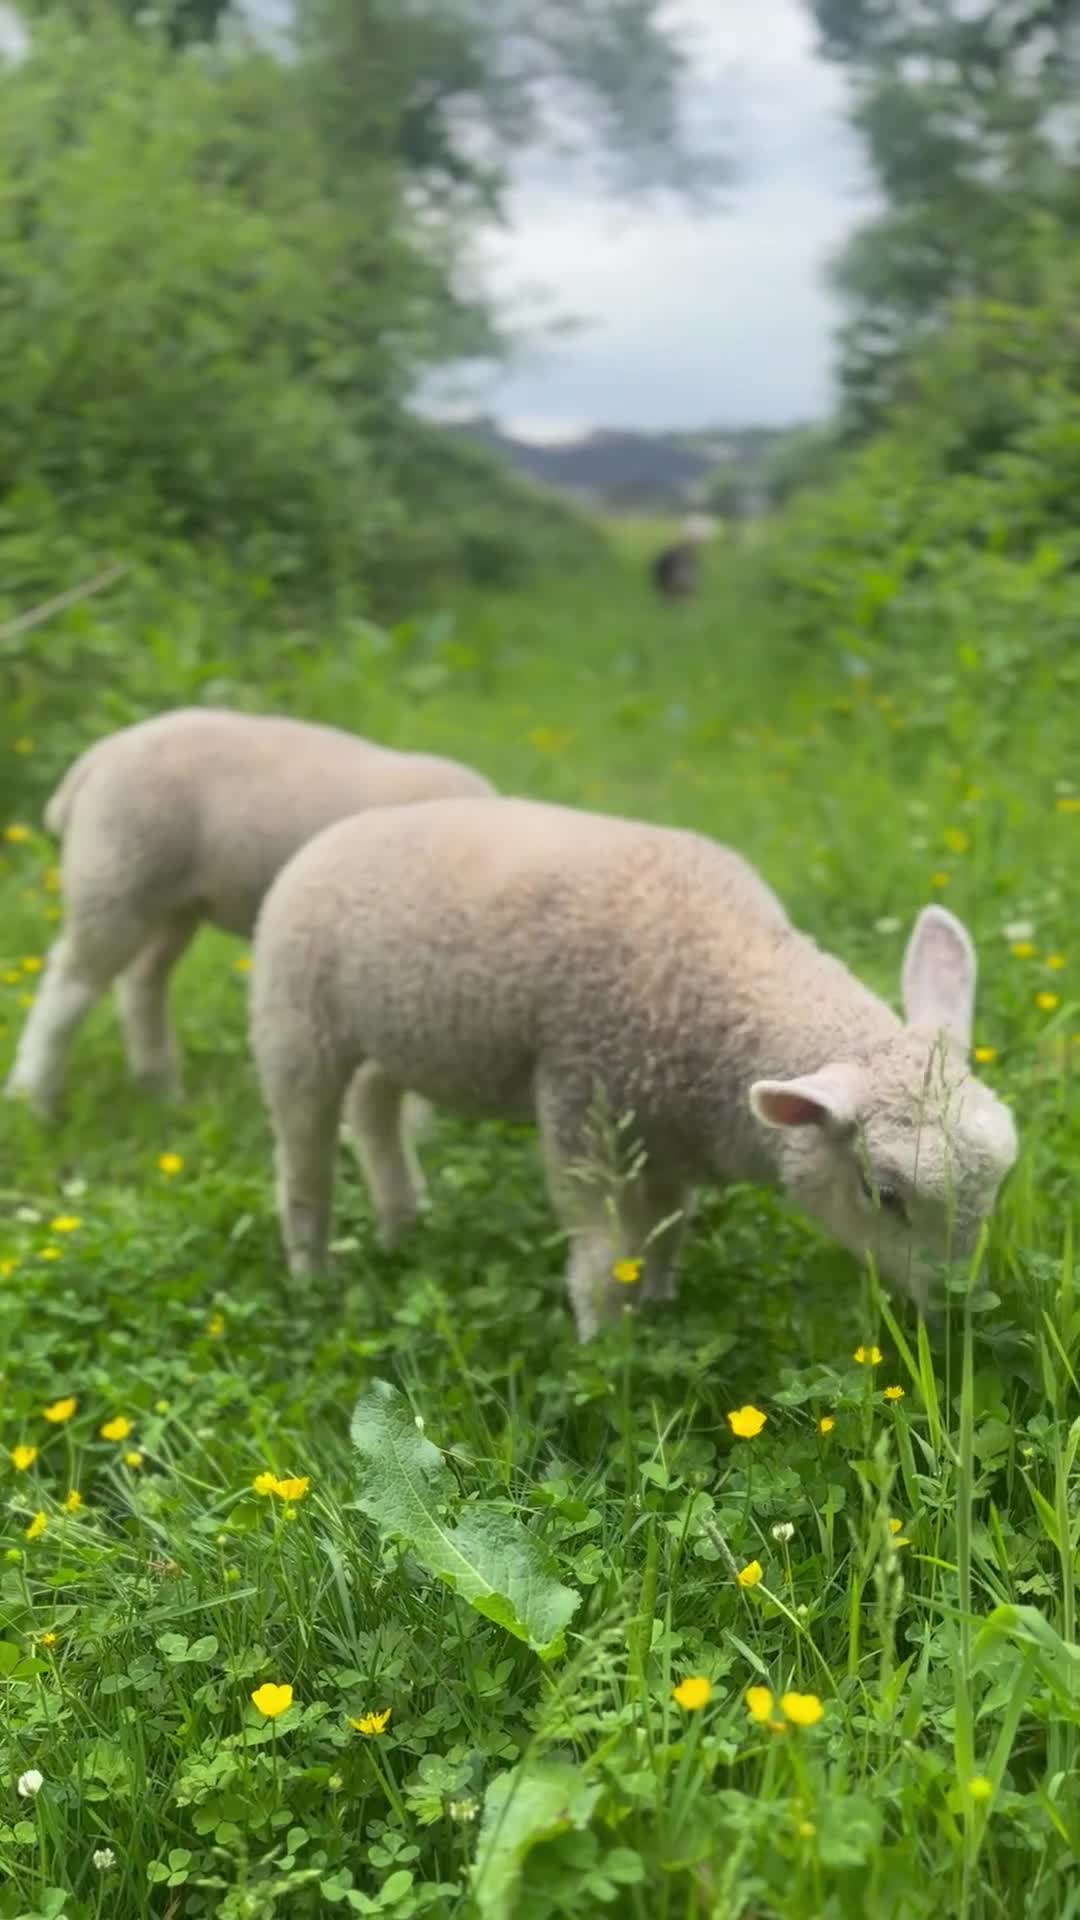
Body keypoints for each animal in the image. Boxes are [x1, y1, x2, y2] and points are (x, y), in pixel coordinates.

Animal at [5, 708, 493, 1116]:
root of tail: (96, 759)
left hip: (173, 903)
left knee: (142, 979)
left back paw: (161, 1088)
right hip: (117, 873)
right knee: (70, 981)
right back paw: (33, 1095)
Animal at [249, 794, 1018, 1339]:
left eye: (1000, 1182)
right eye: (883, 1194)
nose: (960, 1310)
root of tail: (345, 827)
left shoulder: (668, 1129)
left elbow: (667, 1230)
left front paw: (660, 1300)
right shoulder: (582, 1108)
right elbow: (602, 1259)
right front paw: (606, 1344)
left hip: (395, 1034)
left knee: (374, 1110)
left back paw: (401, 1223)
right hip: (296, 1021)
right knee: (304, 1161)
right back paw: (311, 1272)